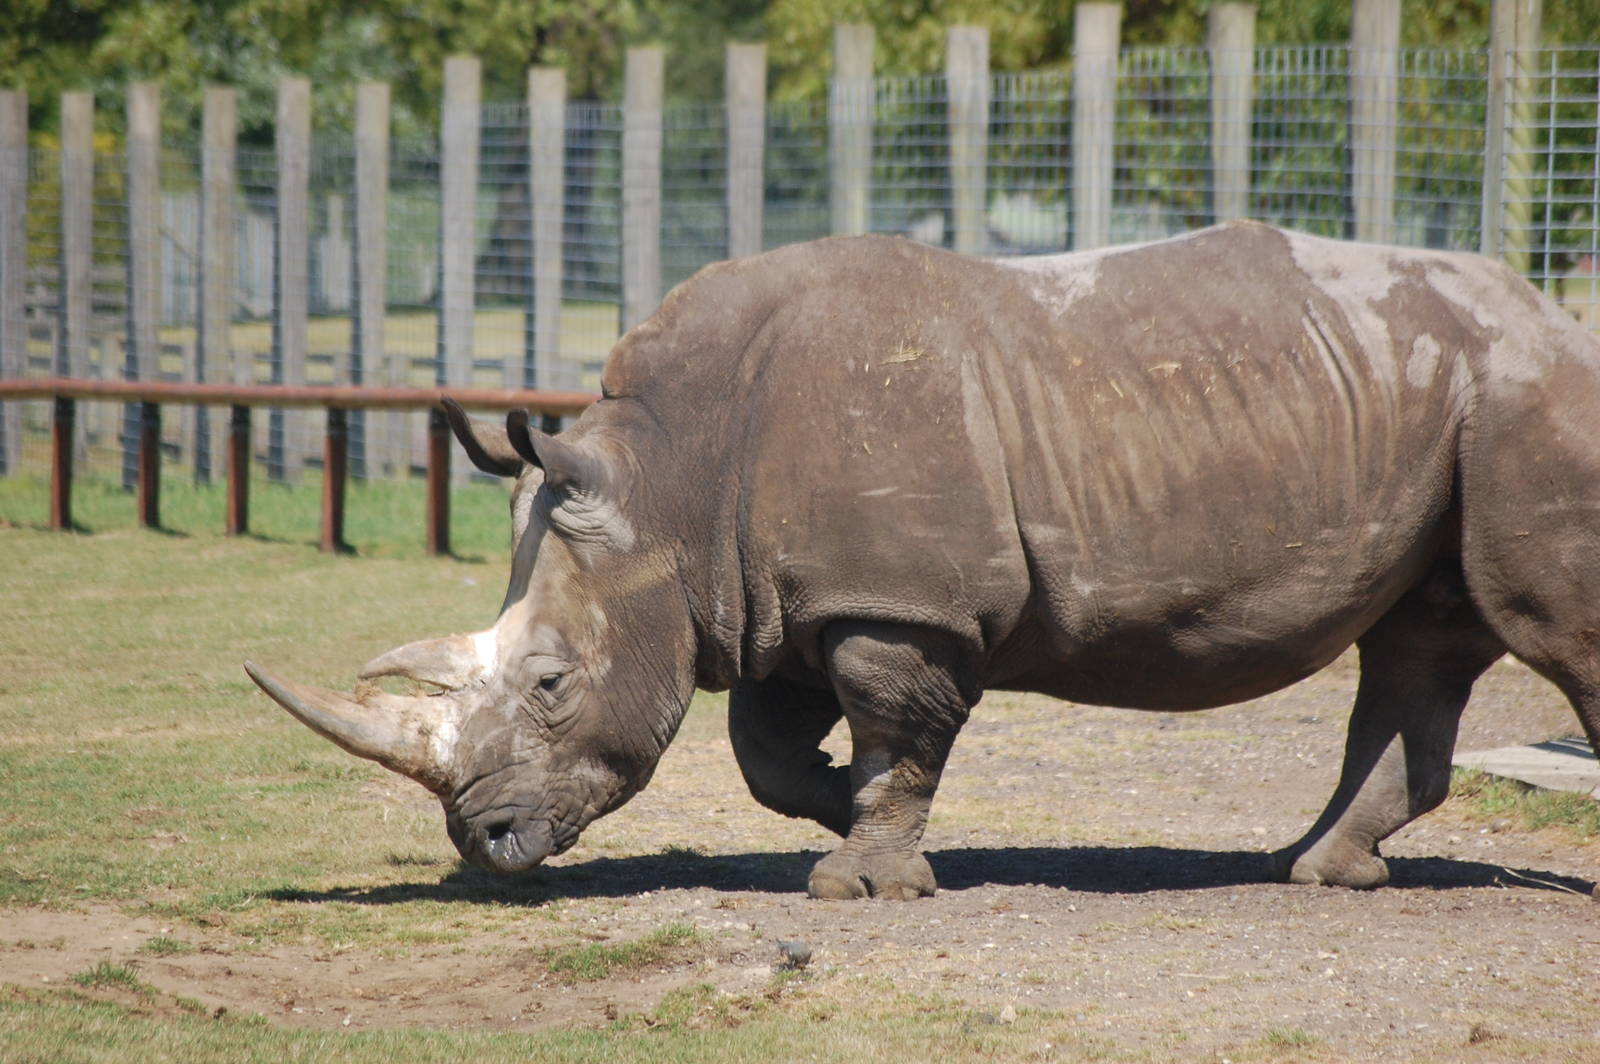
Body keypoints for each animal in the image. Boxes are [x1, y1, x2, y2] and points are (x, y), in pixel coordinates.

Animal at [247, 221, 1600, 899]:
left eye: (548, 684)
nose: (482, 841)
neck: (669, 477)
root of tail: (1554, 312)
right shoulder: (780, 592)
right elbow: (767, 749)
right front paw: (832, 809)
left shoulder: (900, 603)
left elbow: (901, 732)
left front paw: (863, 880)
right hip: (1452, 398)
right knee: (1420, 641)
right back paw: (1318, 869)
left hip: (1524, 393)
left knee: (1545, 632)